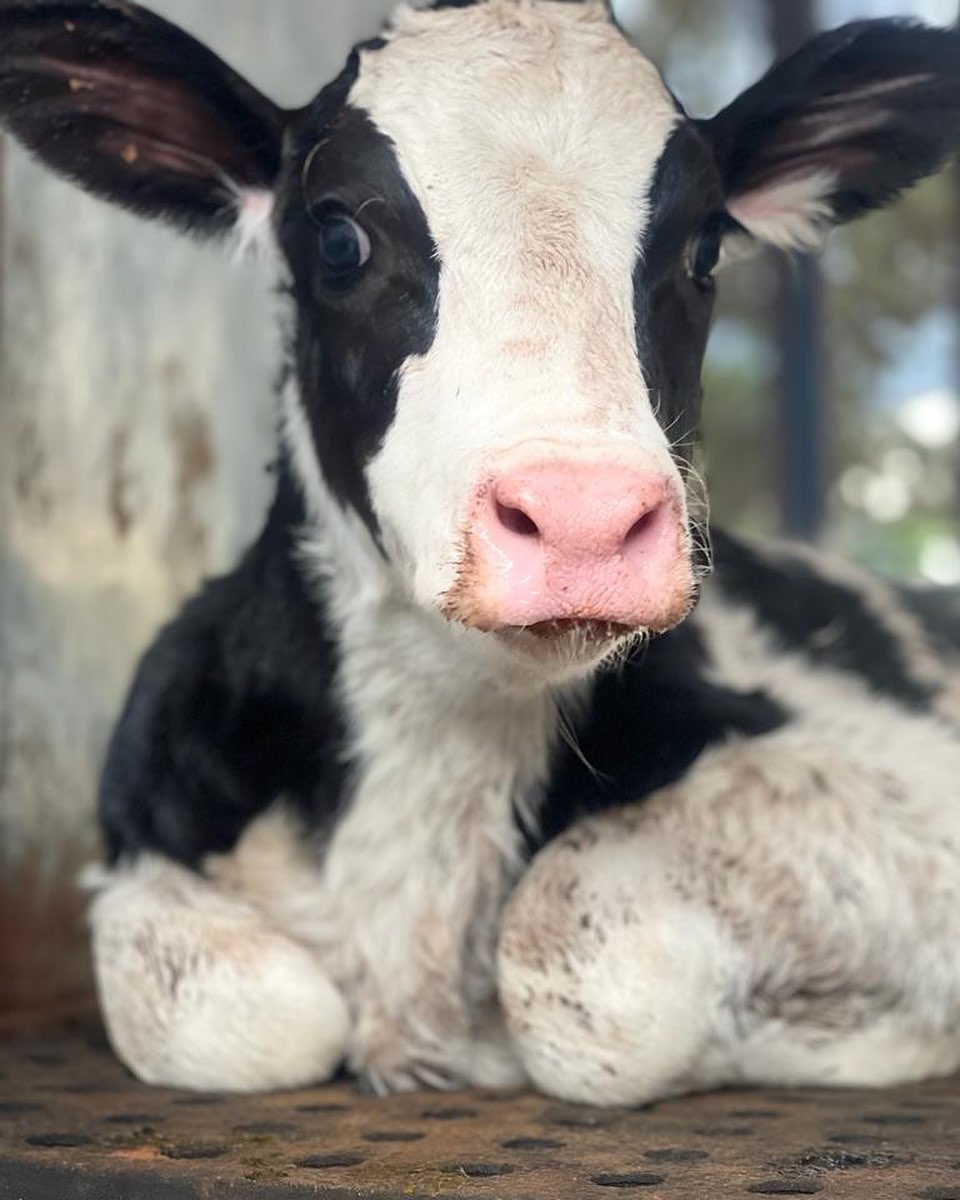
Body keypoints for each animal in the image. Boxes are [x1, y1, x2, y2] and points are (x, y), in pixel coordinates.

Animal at [1, 0, 960, 1104]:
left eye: (704, 248)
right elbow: (250, 1017)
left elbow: (571, 966)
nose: (584, 517)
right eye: (339, 235)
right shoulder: (147, 833)